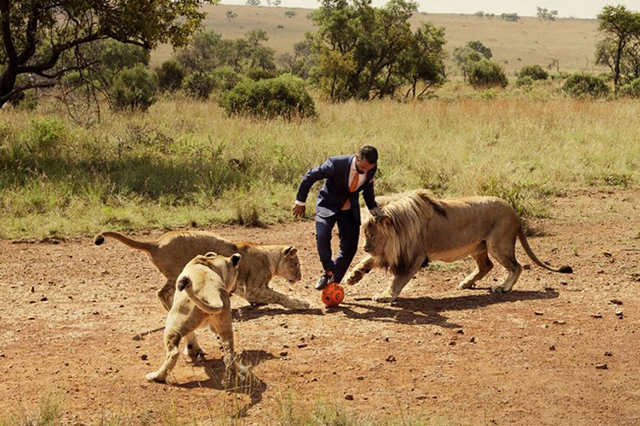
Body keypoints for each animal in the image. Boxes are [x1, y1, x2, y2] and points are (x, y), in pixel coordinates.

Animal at [148, 251, 250, 384]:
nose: (233, 289)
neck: (211, 262)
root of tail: (212, 293)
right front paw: (194, 350)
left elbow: (189, 336)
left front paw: (192, 351)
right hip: (226, 327)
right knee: (229, 355)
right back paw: (236, 375)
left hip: (174, 321)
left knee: (173, 353)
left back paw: (156, 377)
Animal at [348, 190, 572, 302]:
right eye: (365, 234)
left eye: (372, 234)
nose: (365, 247)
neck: (401, 227)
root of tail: (514, 211)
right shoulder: (390, 251)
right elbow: (369, 261)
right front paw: (353, 276)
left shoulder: (414, 256)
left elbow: (398, 280)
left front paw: (385, 296)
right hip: (478, 247)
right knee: (487, 266)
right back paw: (466, 282)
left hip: (498, 244)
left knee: (516, 266)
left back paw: (503, 287)